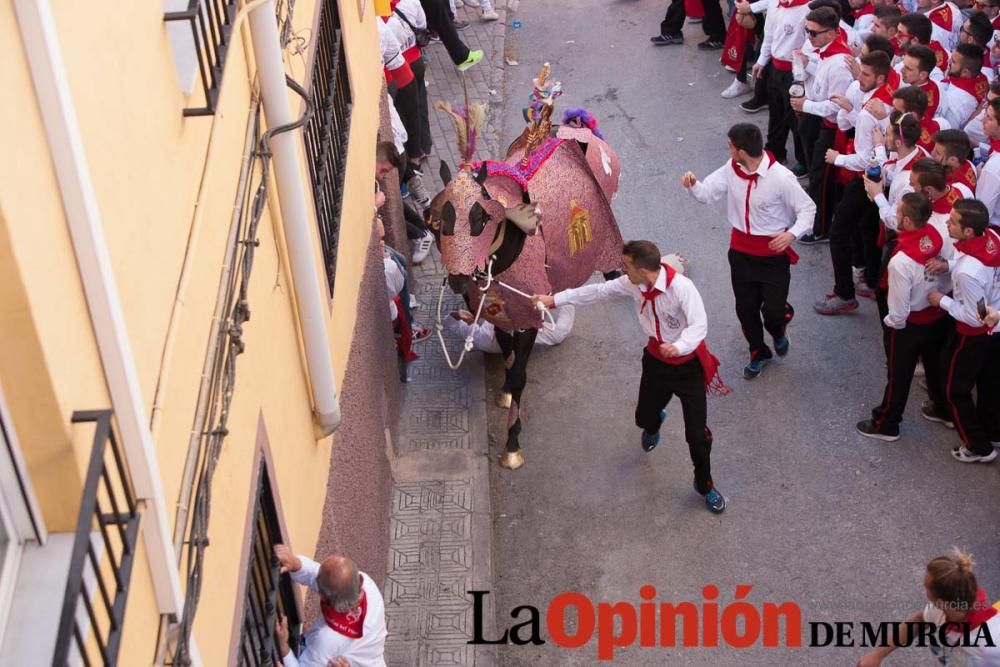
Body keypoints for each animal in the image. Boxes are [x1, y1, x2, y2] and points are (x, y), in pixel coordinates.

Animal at [428, 62, 656, 470]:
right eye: (437, 221)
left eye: (482, 218)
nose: (458, 277)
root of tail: (572, 127)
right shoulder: (499, 310)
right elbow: (507, 355)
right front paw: (504, 391)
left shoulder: (529, 311)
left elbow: (520, 372)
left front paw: (512, 443)